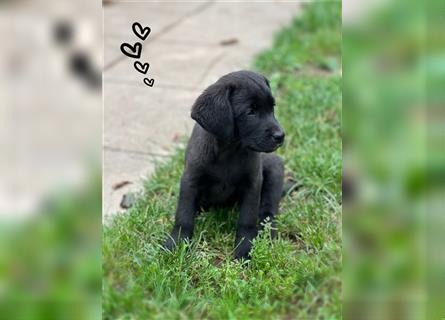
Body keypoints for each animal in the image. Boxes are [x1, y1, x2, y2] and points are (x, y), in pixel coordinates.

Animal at [164, 70, 284, 260]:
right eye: (251, 112)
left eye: (272, 108)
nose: (281, 136)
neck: (229, 151)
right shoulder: (190, 179)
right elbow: (183, 215)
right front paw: (176, 242)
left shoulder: (252, 183)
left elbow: (247, 220)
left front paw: (244, 249)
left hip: (275, 168)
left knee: (268, 212)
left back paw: (267, 234)